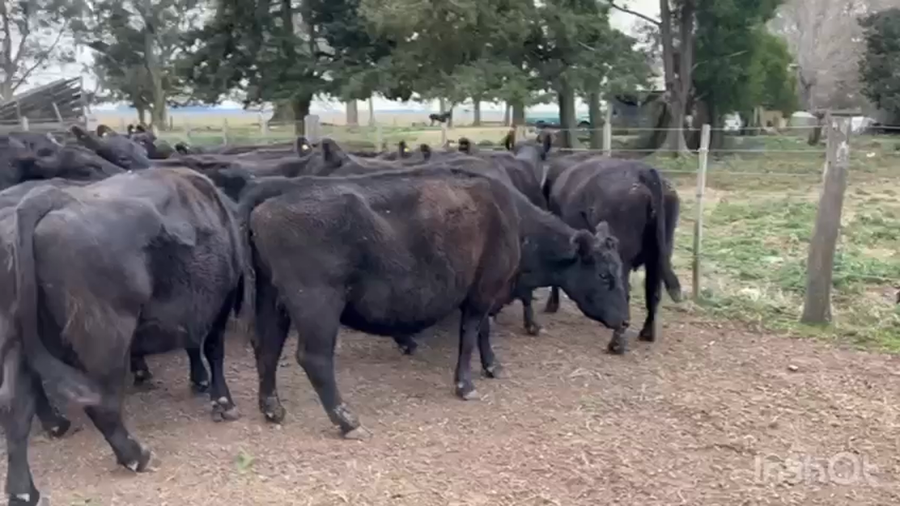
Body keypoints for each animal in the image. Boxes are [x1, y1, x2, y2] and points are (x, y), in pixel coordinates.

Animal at [1, 167, 245, 505]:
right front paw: (222, 402)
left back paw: (24, 491)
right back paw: (136, 455)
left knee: (15, 409)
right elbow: (212, 348)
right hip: (107, 340)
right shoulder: (220, 303)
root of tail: (48, 198)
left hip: (19, 342)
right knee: (100, 404)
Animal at [236, 164, 629, 438]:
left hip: (273, 299)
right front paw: (466, 385)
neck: (512, 219)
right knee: (313, 359)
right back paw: (347, 421)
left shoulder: (482, 292)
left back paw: (272, 409)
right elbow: (470, 334)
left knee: (266, 346)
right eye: (605, 276)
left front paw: (492, 366)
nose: (625, 320)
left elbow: (483, 332)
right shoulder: (482, 291)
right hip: (317, 305)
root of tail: (273, 190)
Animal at [543, 158, 683, 354]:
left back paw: (616, 344)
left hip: (623, 260)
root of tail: (643, 171)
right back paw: (646, 334)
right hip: (659, 257)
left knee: (625, 292)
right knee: (653, 292)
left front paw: (551, 305)